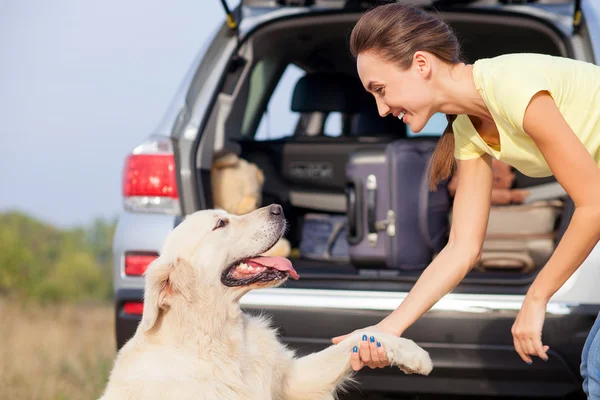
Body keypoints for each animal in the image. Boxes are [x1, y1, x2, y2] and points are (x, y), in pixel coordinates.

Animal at [99, 205, 432, 398]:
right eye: (221, 223)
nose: (278, 208)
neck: (219, 335)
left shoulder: (293, 380)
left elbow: (360, 337)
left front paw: (412, 353)